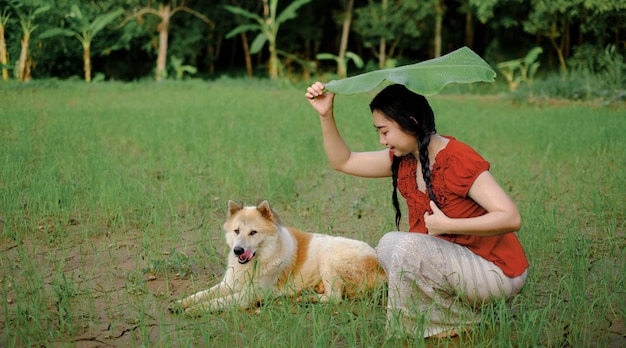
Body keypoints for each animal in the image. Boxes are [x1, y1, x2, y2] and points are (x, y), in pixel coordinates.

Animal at [172, 198, 386, 316]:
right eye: (236, 231)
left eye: (253, 232)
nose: (238, 251)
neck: (261, 259)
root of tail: (381, 266)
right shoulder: (228, 284)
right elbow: (201, 294)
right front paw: (180, 303)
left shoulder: (247, 296)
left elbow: (214, 302)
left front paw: (193, 310)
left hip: (328, 256)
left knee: (335, 297)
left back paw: (306, 299)